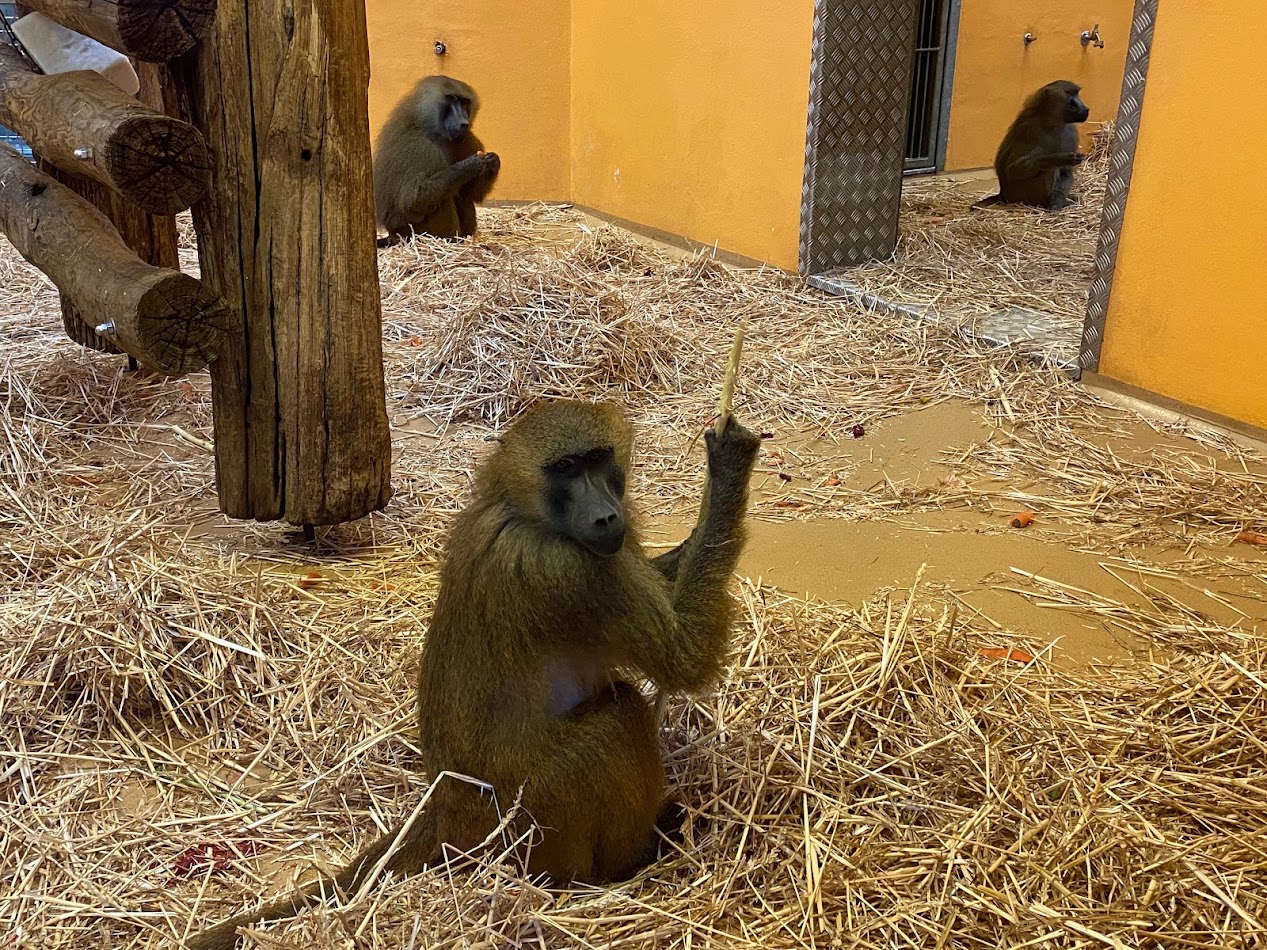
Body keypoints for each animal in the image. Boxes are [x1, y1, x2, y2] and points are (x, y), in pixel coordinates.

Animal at [185, 400, 762, 949]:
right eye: (565, 468)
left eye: (598, 460)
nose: (605, 518)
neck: (522, 509)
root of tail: (445, 809)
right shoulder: (572, 571)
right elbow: (685, 659)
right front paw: (729, 468)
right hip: (524, 819)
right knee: (619, 719)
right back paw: (634, 858)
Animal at [373, 75, 501, 247]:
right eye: (452, 99)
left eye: (464, 102)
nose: (464, 123)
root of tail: (393, 235)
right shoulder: (419, 146)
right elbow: (413, 201)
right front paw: (469, 165)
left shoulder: (467, 139)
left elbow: (473, 193)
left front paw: (493, 161)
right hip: (410, 233)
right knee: (441, 199)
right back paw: (449, 241)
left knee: (462, 196)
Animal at [974, 80, 1090, 211]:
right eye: (1070, 95)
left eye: (1077, 94)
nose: (1085, 109)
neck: (1053, 123)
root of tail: (1003, 194)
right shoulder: (1029, 130)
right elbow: (1013, 169)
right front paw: (1061, 158)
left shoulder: (1071, 133)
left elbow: (1066, 172)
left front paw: (1057, 202)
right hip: (1020, 195)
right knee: (1049, 169)